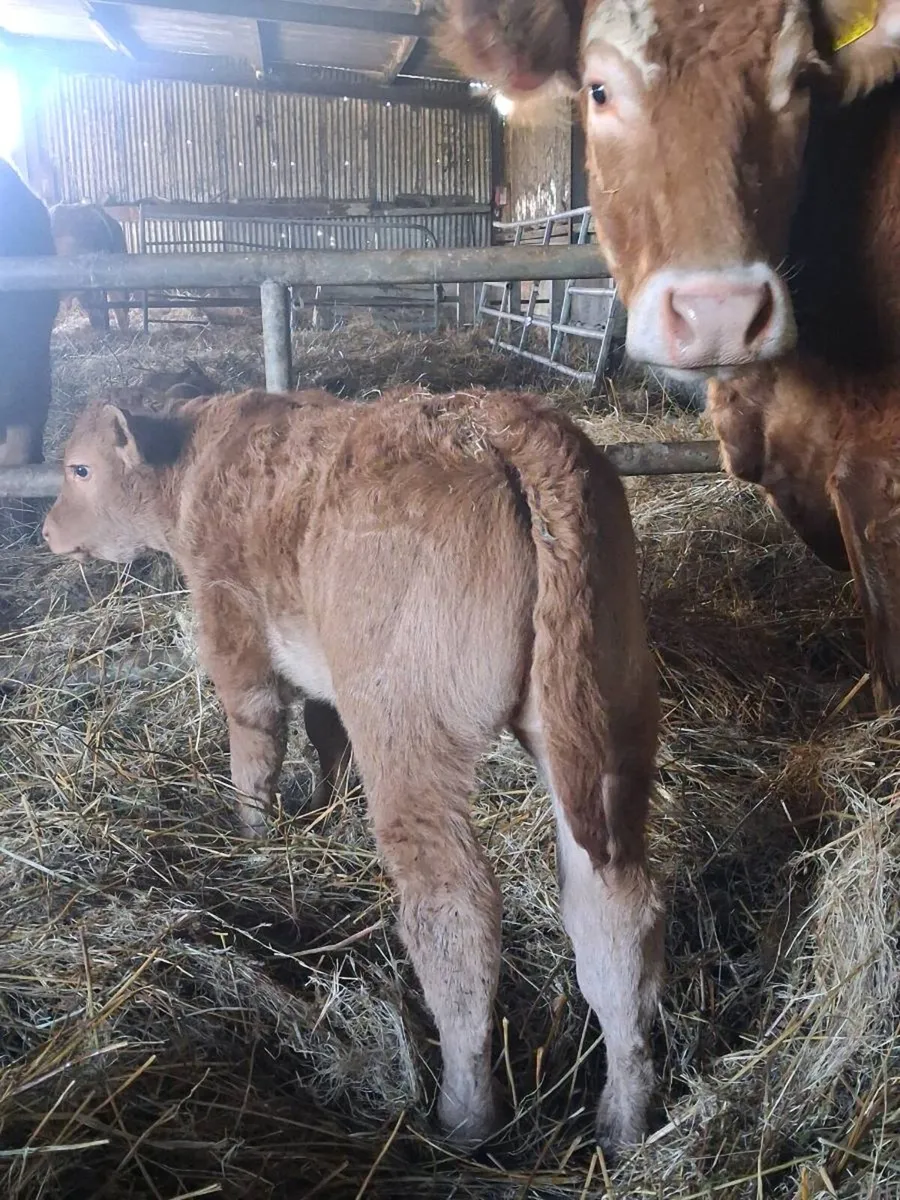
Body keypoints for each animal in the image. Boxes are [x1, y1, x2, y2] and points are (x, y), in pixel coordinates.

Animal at [42, 385, 663, 1151]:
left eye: (79, 469)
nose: (46, 530)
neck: (195, 464)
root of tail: (505, 430)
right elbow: (324, 729)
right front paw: (323, 809)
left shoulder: (229, 621)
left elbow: (256, 742)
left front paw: (253, 837)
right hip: (606, 718)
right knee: (615, 911)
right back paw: (624, 1120)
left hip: (410, 729)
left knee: (456, 911)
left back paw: (463, 1114)